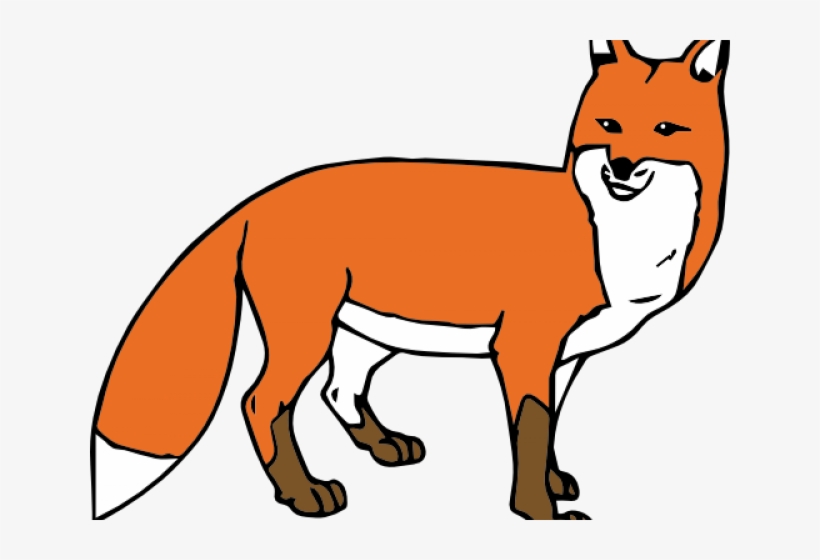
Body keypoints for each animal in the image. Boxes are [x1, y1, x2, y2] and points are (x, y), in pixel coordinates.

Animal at [91, 40, 729, 521]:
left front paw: (553, 483)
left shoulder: (567, 356)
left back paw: (383, 446)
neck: (617, 239)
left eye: (666, 129)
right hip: (307, 332)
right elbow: (529, 431)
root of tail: (260, 197)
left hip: (367, 335)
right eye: (609, 125)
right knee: (262, 401)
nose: (620, 166)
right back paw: (304, 494)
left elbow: (549, 428)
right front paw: (537, 512)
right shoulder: (524, 346)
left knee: (337, 390)